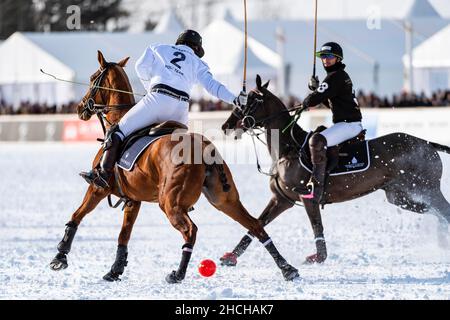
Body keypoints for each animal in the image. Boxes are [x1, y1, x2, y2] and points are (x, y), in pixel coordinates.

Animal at [49, 50, 298, 282]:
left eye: (93, 78)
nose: (80, 108)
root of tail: (204, 145)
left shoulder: (99, 189)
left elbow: (77, 215)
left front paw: (60, 257)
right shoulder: (133, 199)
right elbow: (123, 235)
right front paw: (114, 270)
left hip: (170, 202)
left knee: (191, 230)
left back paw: (178, 274)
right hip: (223, 198)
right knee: (256, 225)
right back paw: (287, 269)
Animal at [220, 74, 450, 264]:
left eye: (250, 101)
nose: (226, 126)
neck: (287, 149)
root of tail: (427, 143)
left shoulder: (308, 197)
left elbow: (316, 225)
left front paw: (318, 257)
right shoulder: (282, 200)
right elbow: (256, 224)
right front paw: (230, 257)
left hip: (426, 189)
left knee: (444, 210)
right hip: (401, 196)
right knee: (436, 212)